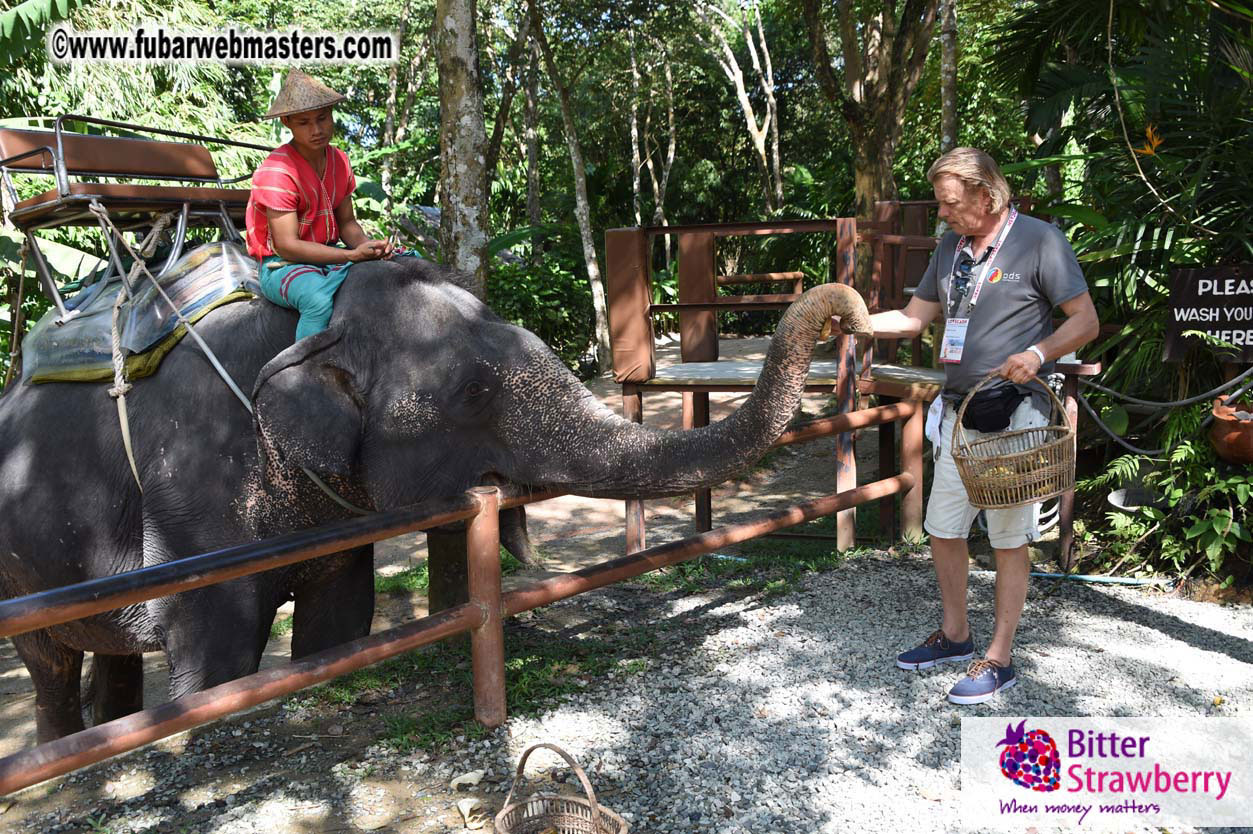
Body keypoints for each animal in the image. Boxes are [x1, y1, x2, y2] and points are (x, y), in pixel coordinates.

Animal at [0, 255, 869, 742]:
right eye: (473, 392)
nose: (852, 314)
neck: (309, 323)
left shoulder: (336, 519)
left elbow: (339, 623)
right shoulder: (192, 485)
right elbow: (216, 651)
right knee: (47, 662)